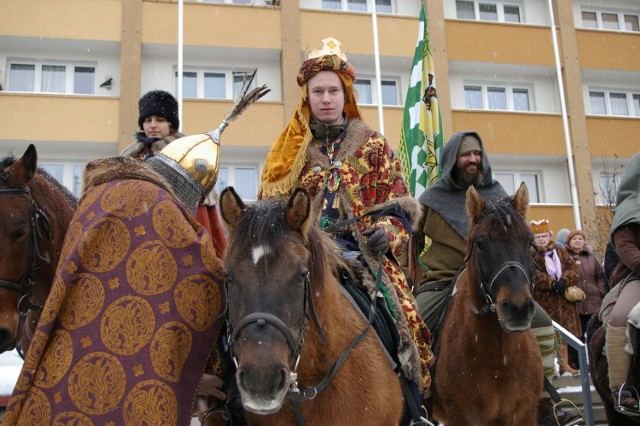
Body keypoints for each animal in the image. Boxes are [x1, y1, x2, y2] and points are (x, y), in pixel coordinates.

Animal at [432, 184, 544, 426]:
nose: (518, 308)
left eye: (529, 242)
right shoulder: (462, 416)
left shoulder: (525, 414)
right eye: (481, 244)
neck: (500, 360)